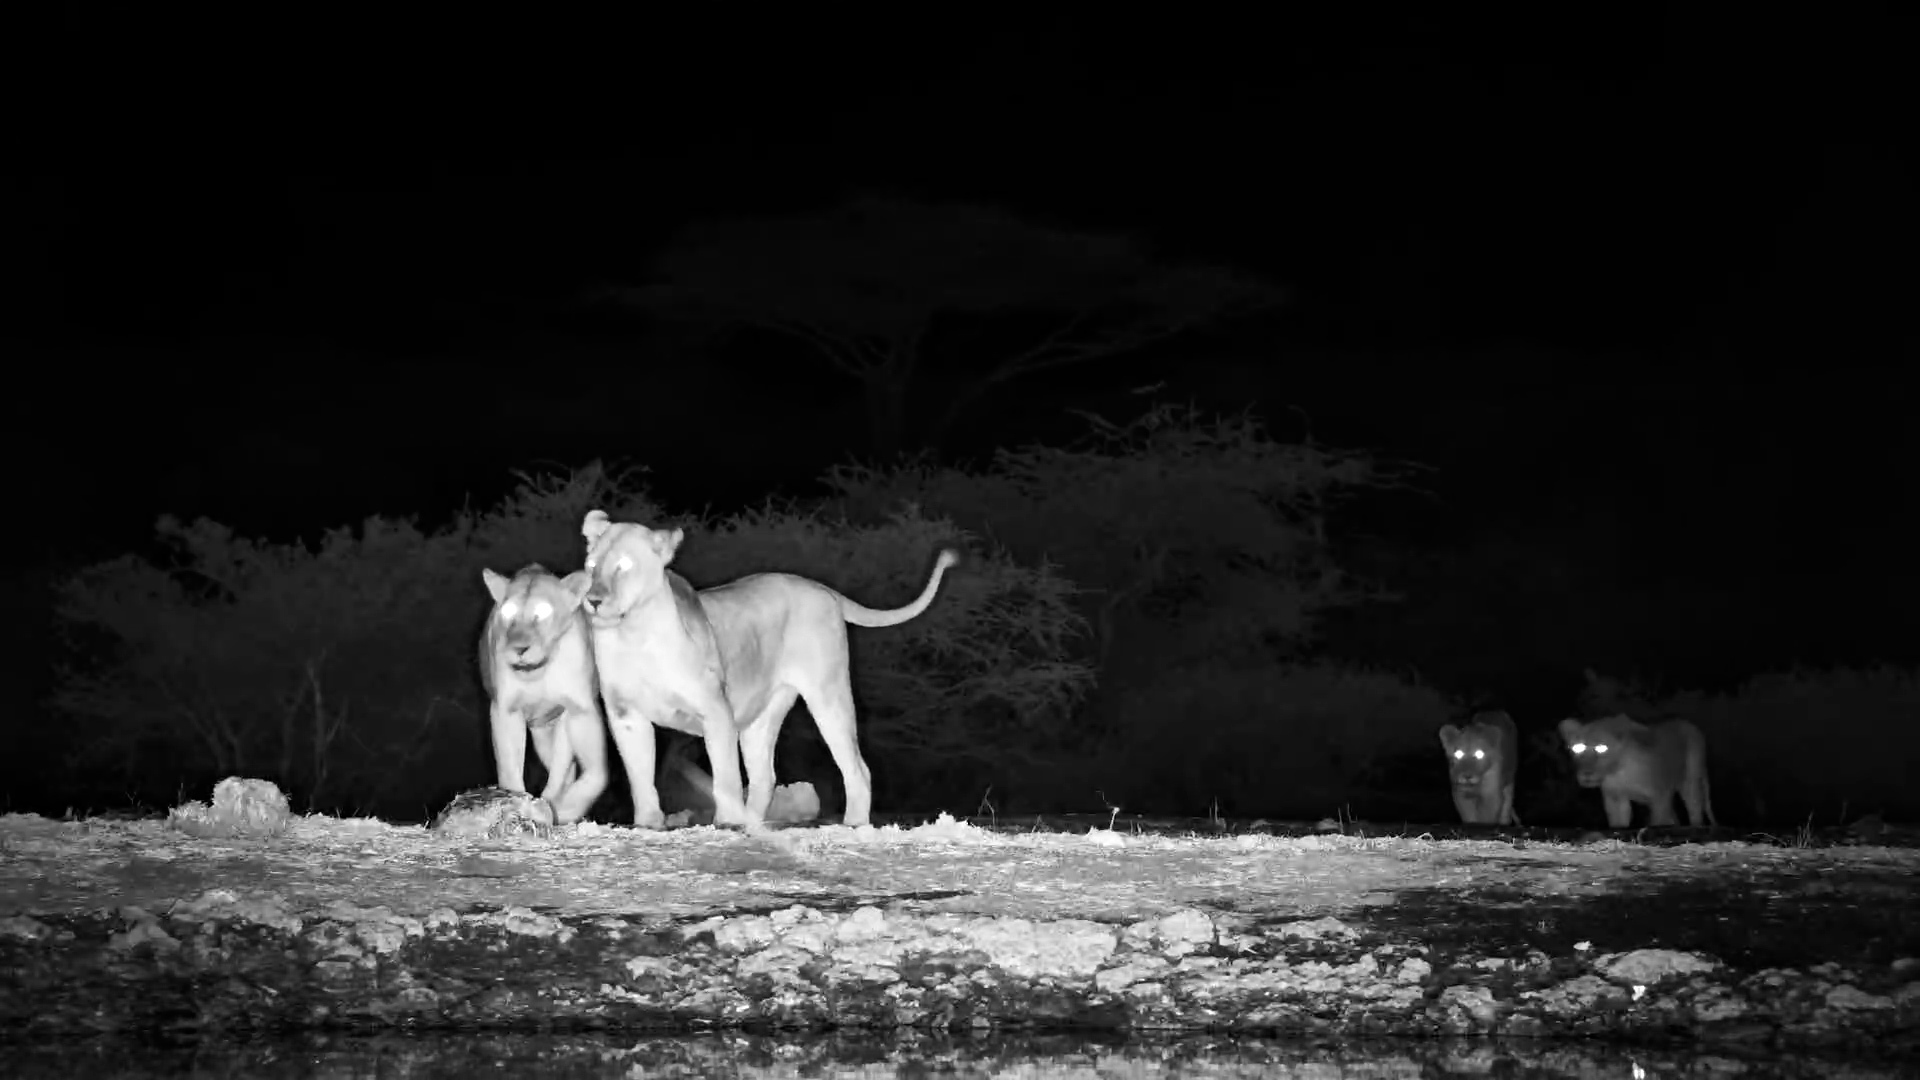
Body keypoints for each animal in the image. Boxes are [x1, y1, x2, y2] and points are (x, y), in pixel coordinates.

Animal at [479, 564, 609, 826]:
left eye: (543, 611)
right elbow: (509, 768)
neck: (538, 672)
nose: (520, 649)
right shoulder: (506, 710)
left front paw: (561, 807)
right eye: (507, 611)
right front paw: (515, 802)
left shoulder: (578, 710)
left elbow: (589, 774)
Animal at [579, 509, 959, 829]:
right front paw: (647, 823)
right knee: (765, 777)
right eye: (592, 565)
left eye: (624, 566)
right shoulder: (625, 715)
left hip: (828, 695)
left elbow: (725, 774)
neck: (632, 634)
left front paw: (726, 822)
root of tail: (822, 588)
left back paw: (852, 823)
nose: (592, 600)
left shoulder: (715, 710)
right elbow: (640, 775)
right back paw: (753, 823)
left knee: (857, 767)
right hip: (762, 717)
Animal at [1557, 714, 1716, 829]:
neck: (1617, 773)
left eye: (1602, 748)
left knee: (1694, 807)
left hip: (1690, 780)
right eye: (1577, 747)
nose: (1586, 774)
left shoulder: (1660, 796)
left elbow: (1657, 821)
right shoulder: (1615, 799)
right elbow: (1618, 823)